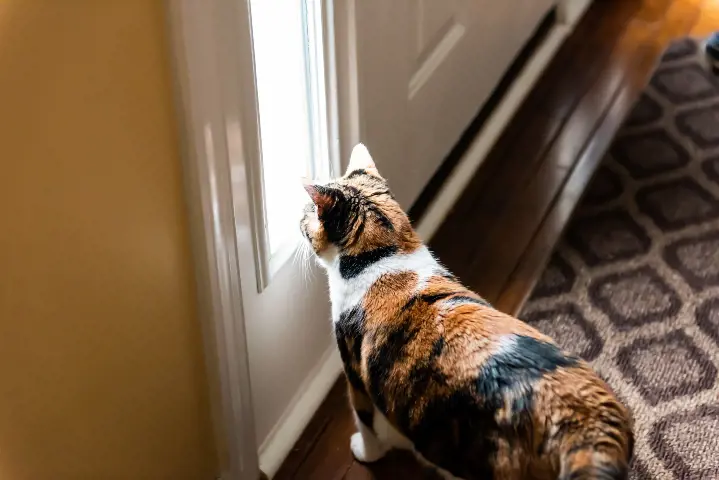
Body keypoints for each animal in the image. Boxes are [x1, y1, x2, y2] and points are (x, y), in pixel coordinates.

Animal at [300, 143, 632, 480]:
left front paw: (365, 452)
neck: (384, 253)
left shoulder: (355, 373)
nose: (300, 219)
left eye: (308, 214)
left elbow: (366, 424)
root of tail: (587, 425)